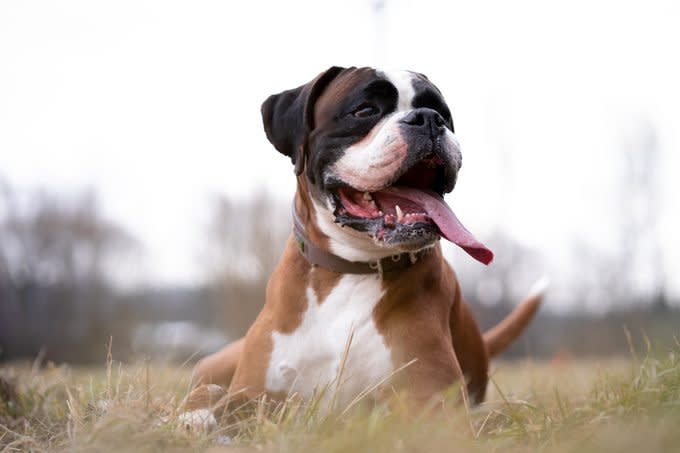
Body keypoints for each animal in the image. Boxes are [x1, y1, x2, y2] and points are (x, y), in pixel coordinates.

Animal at [182, 66, 548, 424]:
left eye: (444, 114)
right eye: (365, 110)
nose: (428, 118)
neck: (351, 269)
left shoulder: (433, 407)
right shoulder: (254, 392)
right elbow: (217, 398)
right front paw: (197, 415)